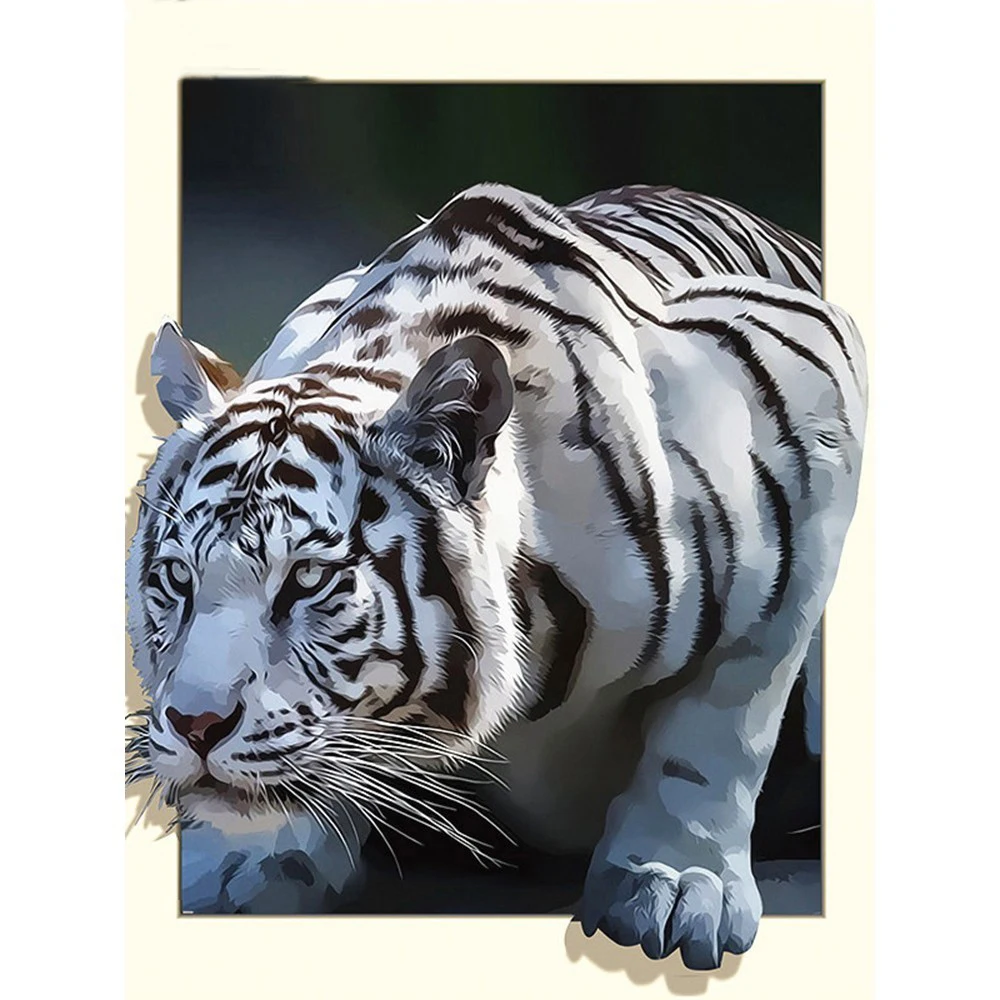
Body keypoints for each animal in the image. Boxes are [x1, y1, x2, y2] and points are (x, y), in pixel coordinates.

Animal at [126, 182, 865, 969]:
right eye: (177, 578)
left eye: (307, 579)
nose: (196, 726)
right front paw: (249, 853)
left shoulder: (812, 404)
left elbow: (723, 718)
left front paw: (673, 882)